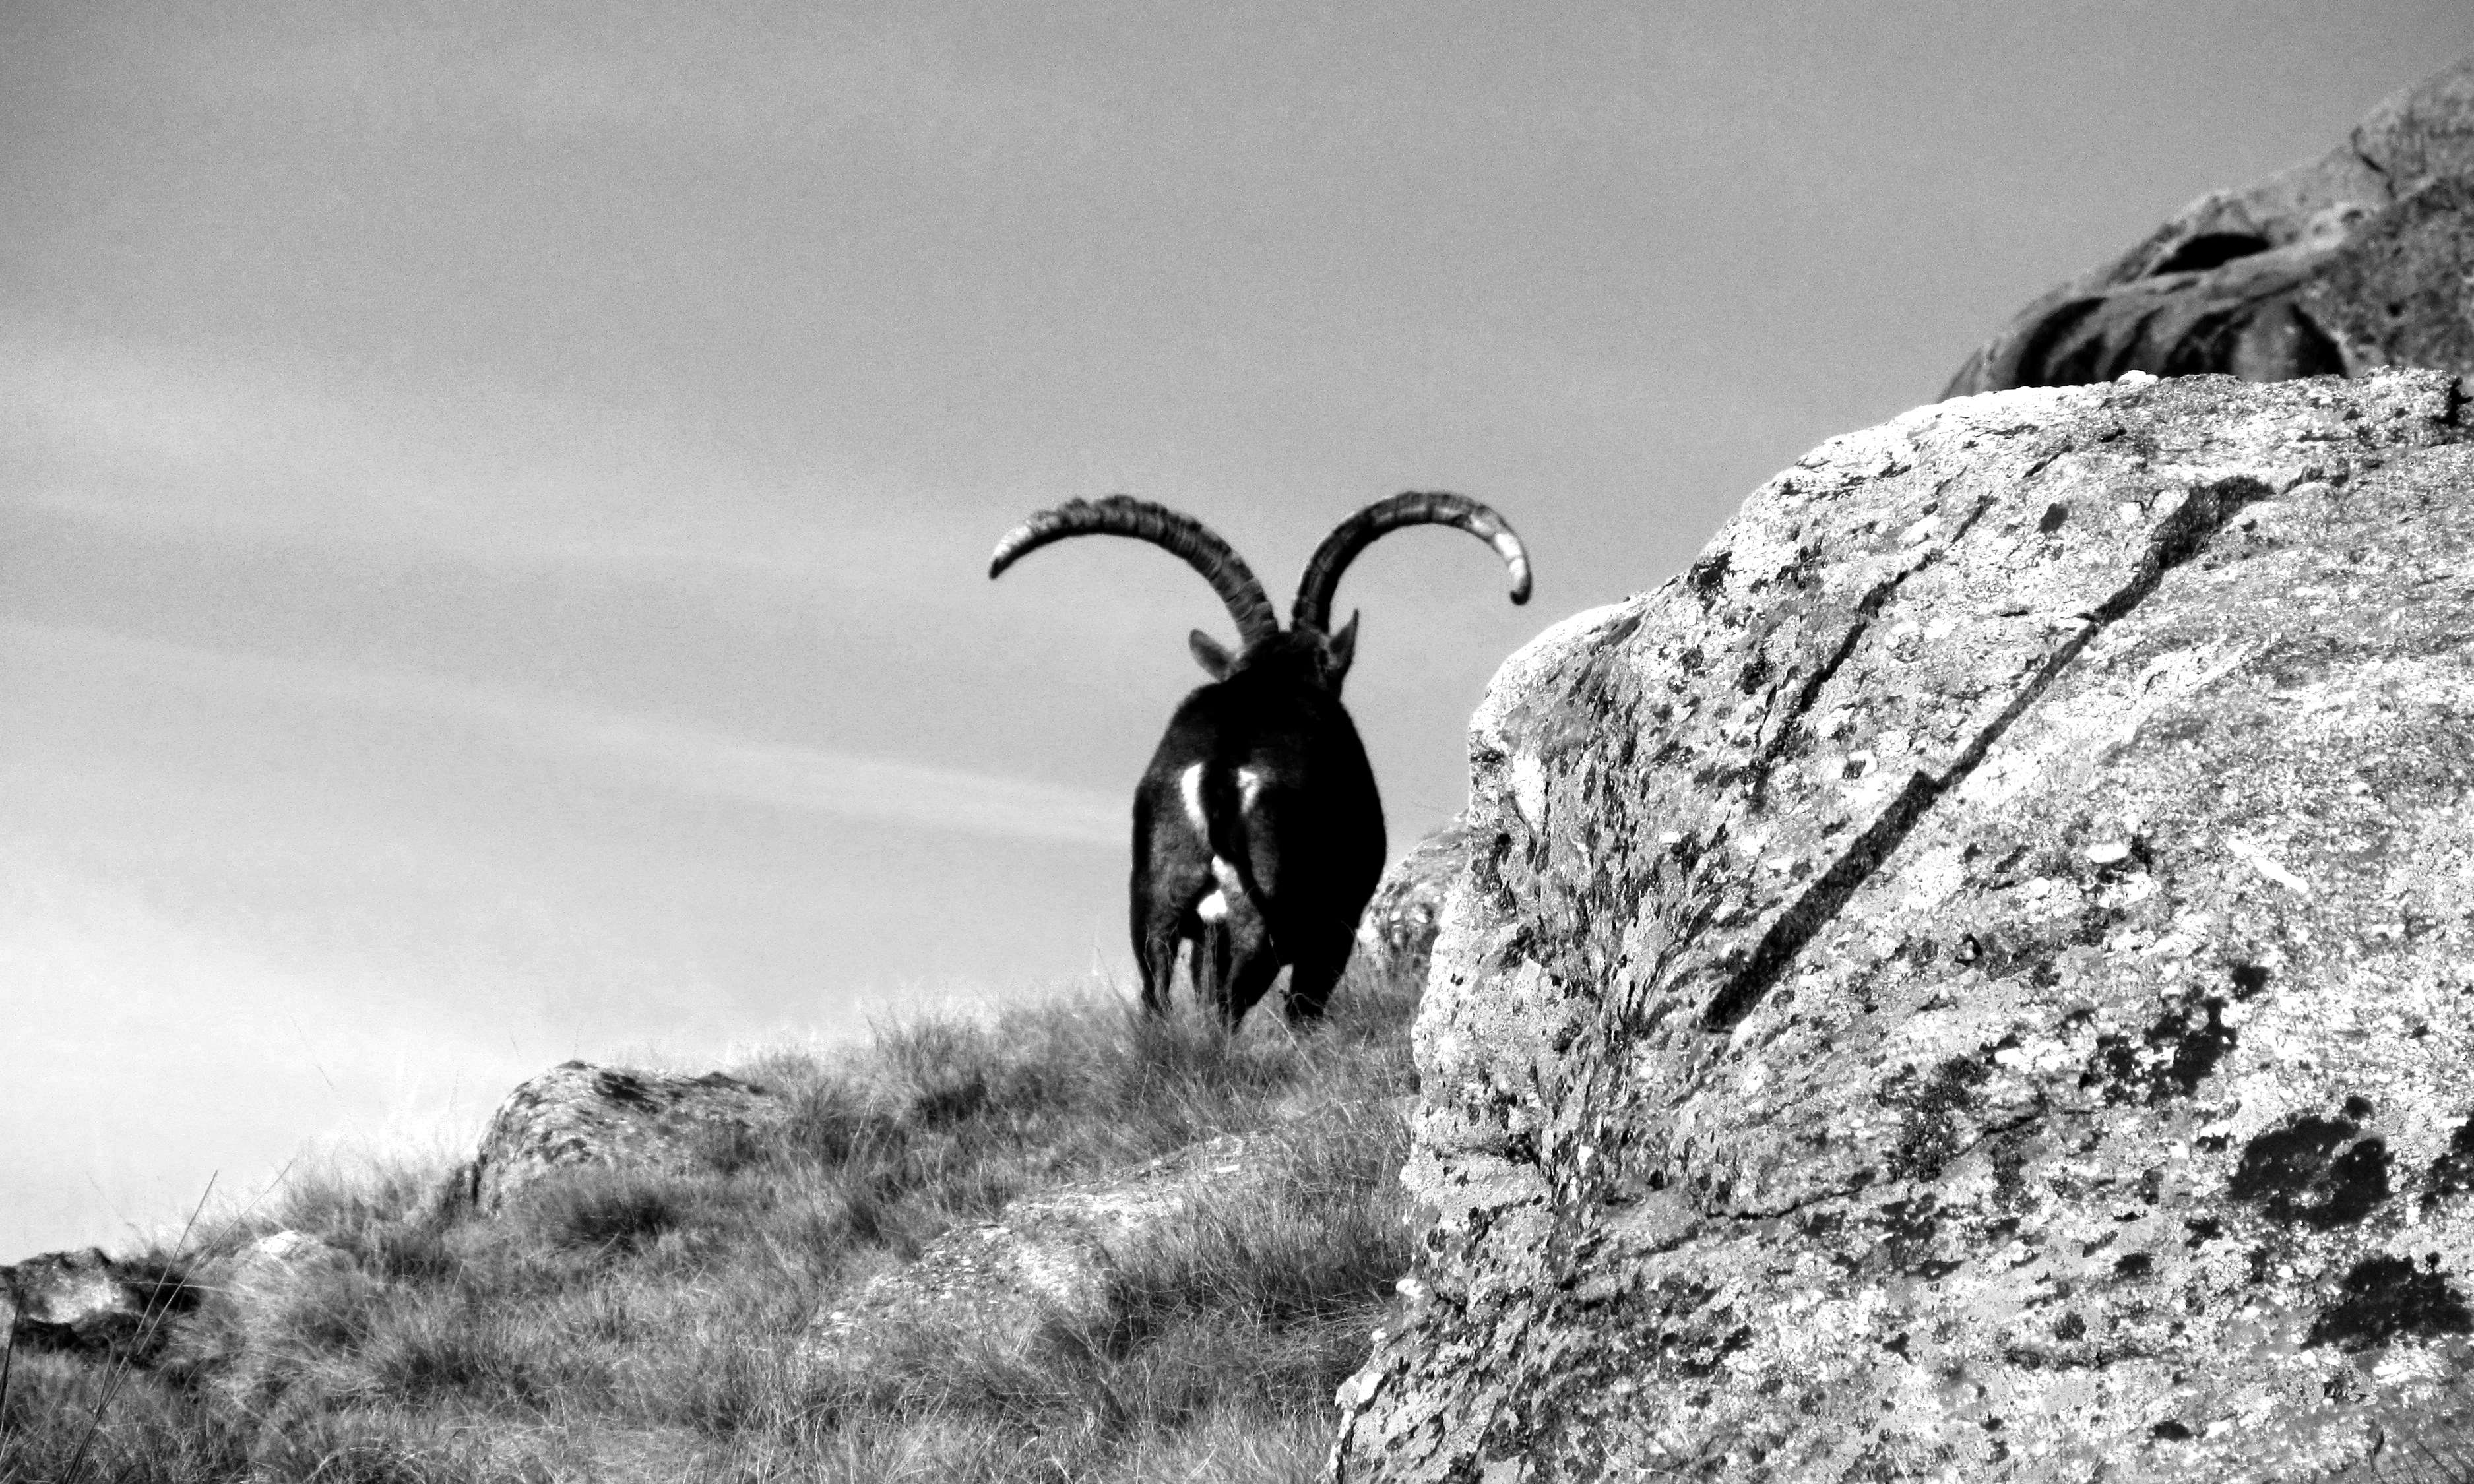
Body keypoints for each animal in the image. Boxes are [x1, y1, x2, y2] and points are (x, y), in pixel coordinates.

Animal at [989, 493, 1531, 1026]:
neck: (1274, 676)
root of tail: (1218, 770)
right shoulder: (1337, 921)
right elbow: (1304, 1004)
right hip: (1267, 910)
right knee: (1236, 999)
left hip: (1158, 900)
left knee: (1160, 995)